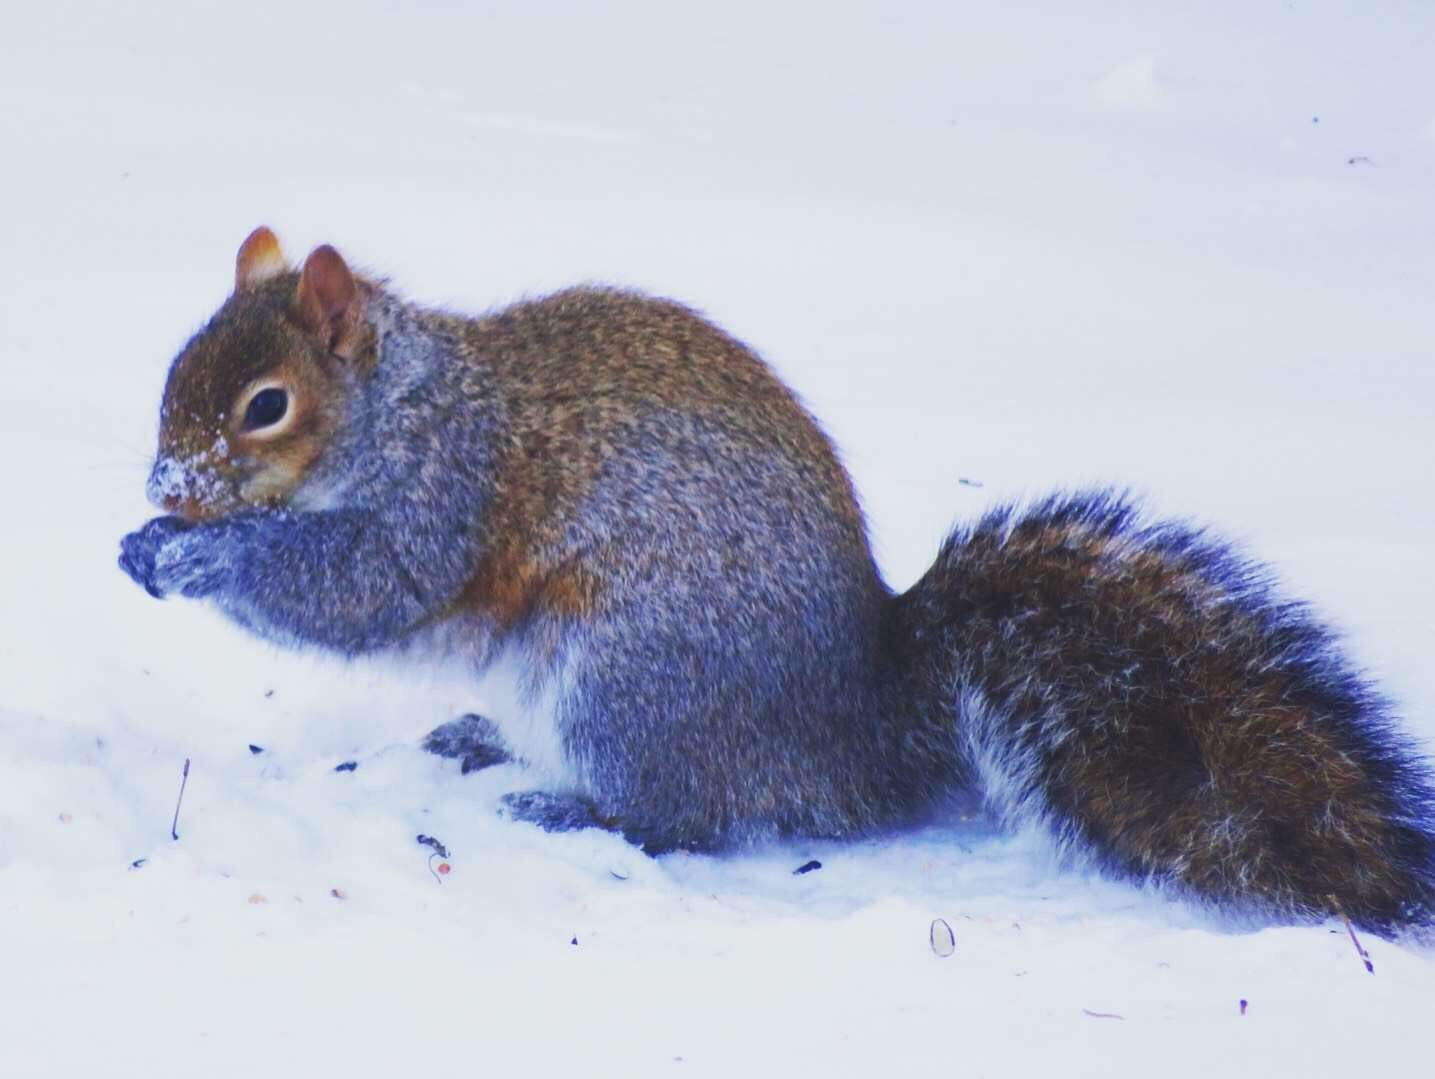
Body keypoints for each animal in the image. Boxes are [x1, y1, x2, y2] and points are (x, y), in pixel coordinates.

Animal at [120, 225, 1435, 935]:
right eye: (176, 370)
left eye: (266, 405)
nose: (165, 482)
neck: (399, 407)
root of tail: (856, 726)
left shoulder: (445, 490)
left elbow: (358, 586)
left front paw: (195, 556)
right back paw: (481, 741)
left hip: (626, 680)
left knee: (689, 818)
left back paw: (573, 808)